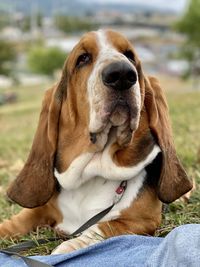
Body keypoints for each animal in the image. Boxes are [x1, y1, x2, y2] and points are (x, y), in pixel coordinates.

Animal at [0, 30, 192, 254]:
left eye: (129, 55)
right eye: (82, 58)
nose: (121, 74)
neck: (91, 173)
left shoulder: (141, 221)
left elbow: (100, 228)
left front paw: (68, 247)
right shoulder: (39, 209)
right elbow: (15, 223)